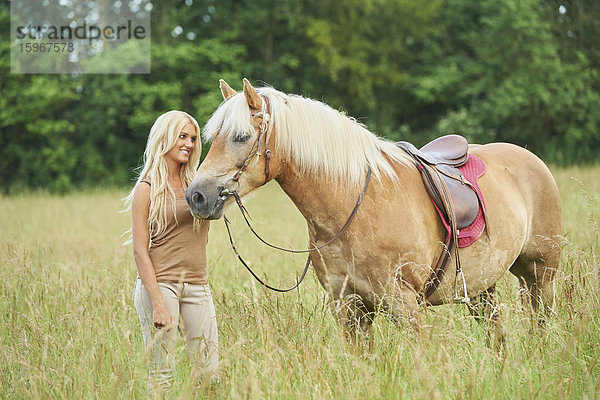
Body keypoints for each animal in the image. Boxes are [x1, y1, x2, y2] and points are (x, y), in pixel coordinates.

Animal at [184, 79, 564, 346]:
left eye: (241, 136)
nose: (196, 196)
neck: (353, 206)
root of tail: (530, 158)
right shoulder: (349, 308)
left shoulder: (406, 307)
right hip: (483, 288)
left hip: (540, 275)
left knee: (541, 323)